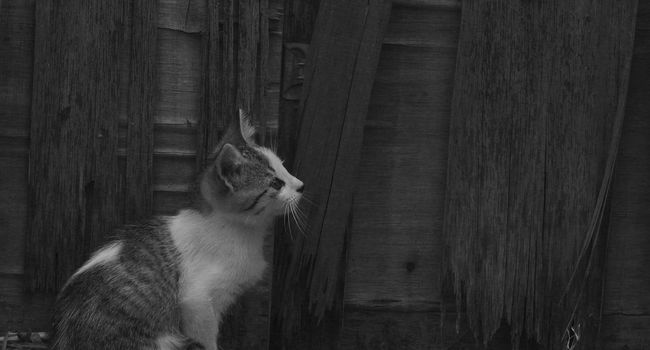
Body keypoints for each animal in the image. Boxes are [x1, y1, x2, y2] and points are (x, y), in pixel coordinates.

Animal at [52, 110, 302, 350]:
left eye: (284, 166)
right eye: (276, 184)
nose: (300, 185)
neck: (239, 230)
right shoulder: (196, 301)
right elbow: (206, 338)